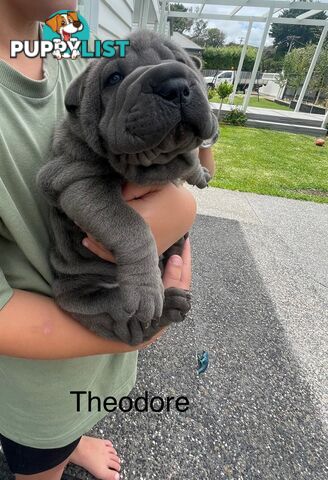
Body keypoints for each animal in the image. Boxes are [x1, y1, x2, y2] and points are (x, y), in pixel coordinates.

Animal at [36, 29, 218, 344]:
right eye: (114, 78)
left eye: (181, 62)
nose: (173, 83)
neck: (155, 161)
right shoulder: (78, 180)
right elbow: (131, 226)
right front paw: (145, 289)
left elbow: (189, 157)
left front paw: (200, 171)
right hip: (88, 301)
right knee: (130, 326)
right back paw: (167, 306)